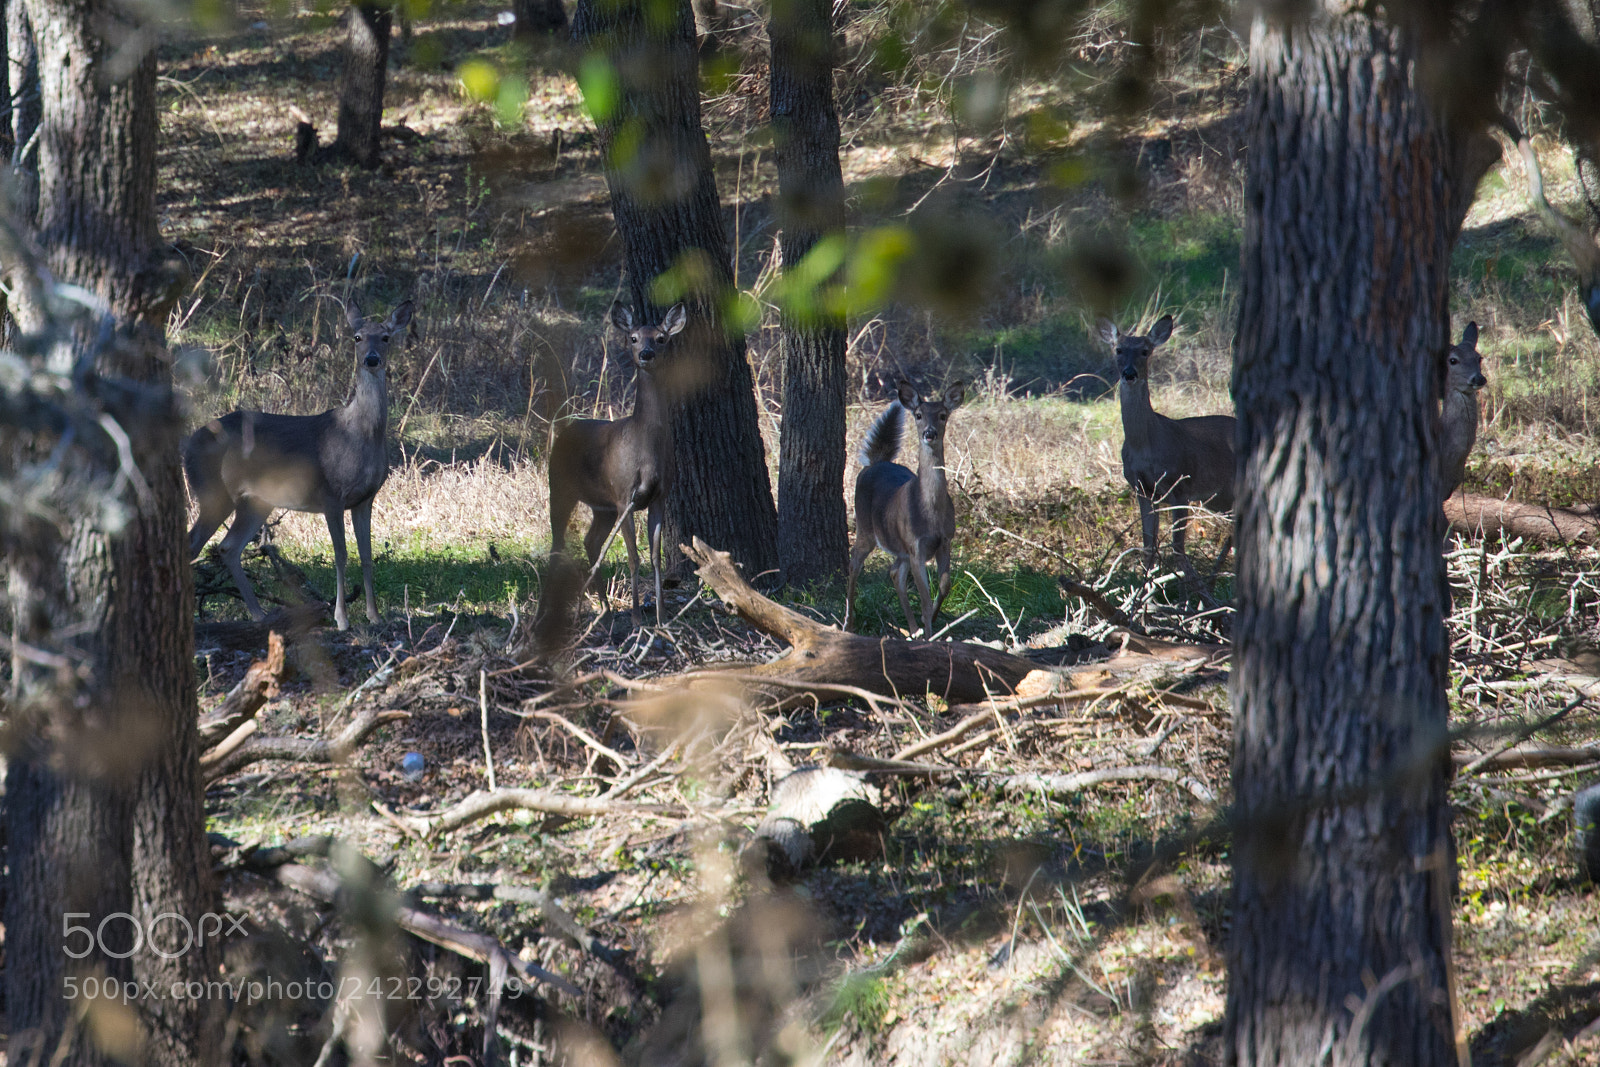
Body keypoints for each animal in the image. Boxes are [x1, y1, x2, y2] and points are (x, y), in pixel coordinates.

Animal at [184, 299, 413, 631]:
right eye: (357, 337)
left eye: (385, 337)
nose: (371, 359)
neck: (359, 435)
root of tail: (187, 443)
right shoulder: (331, 495)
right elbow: (341, 554)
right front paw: (341, 618)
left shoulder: (366, 498)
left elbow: (366, 554)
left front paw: (374, 615)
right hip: (211, 490)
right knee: (193, 543)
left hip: (256, 501)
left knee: (227, 546)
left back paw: (260, 615)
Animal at [547, 301, 687, 628]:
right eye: (633, 338)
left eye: (661, 338)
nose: (646, 354)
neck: (645, 450)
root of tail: (564, 431)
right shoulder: (625, 495)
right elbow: (634, 557)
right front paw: (636, 616)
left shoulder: (658, 496)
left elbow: (655, 556)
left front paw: (662, 616)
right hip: (559, 487)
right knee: (557, 543)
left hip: (603, 506)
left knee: (591, 541)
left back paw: (606, 608)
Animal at [843, 380, 965, 638]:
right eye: (918, 415)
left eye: (942, 415)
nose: (929, 433)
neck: (930, 512)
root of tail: (874, 462)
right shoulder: (916, 546)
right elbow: (925, 599)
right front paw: (930, 634)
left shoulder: (945, 540)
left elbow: (945, 585)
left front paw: (933, 622)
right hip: (865, 528)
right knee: (854, 562)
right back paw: (848, 623)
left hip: (900, 546)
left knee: (894, 573)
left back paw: (912, 629)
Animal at [1097, 314, 1235, 567]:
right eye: (1118, 349)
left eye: (1145, 351)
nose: (1129, 373)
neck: (1145, 447)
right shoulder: (1141, 489)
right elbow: (1147, 547)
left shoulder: (1180, 485)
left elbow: (1178, 549)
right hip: (1220, 498)